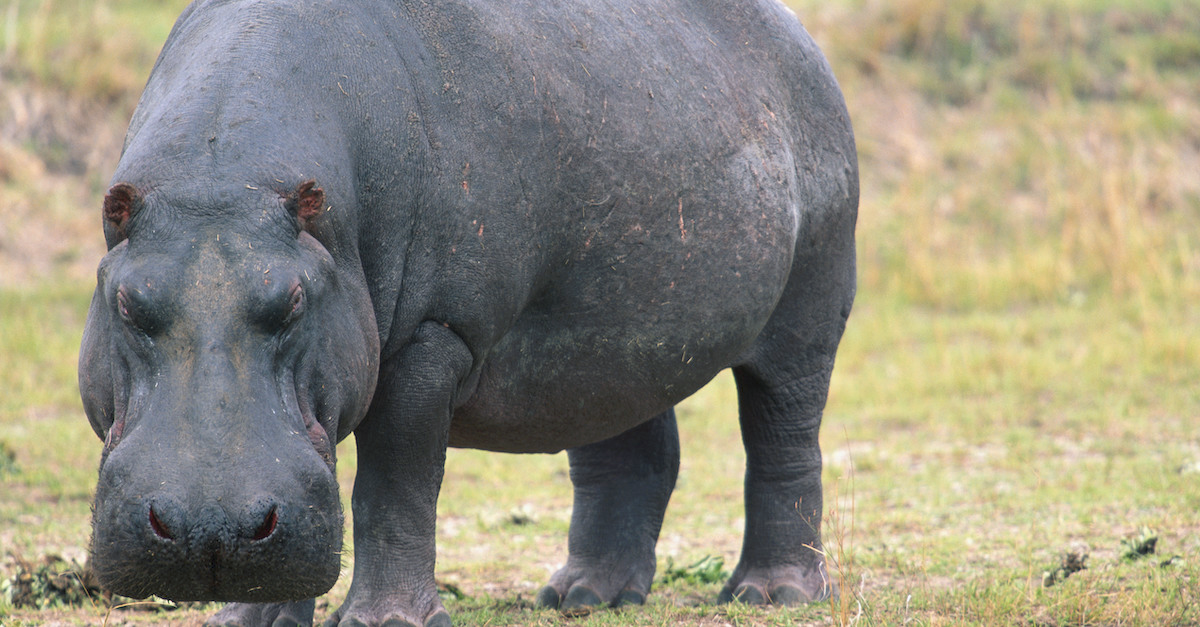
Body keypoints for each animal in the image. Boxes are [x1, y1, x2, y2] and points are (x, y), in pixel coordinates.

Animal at [79, 0, 859, 619]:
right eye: (128, 302)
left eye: (293, 301)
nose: (207, 528)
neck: (225, 178)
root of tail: (799, 34)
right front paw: (248, 621)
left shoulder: (434, 335)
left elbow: (396, 484)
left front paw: (388, 621)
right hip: (609, 334)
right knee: (630, 447)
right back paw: (582, 596)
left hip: (809, 307)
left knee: (784, 436)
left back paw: (773, 593)